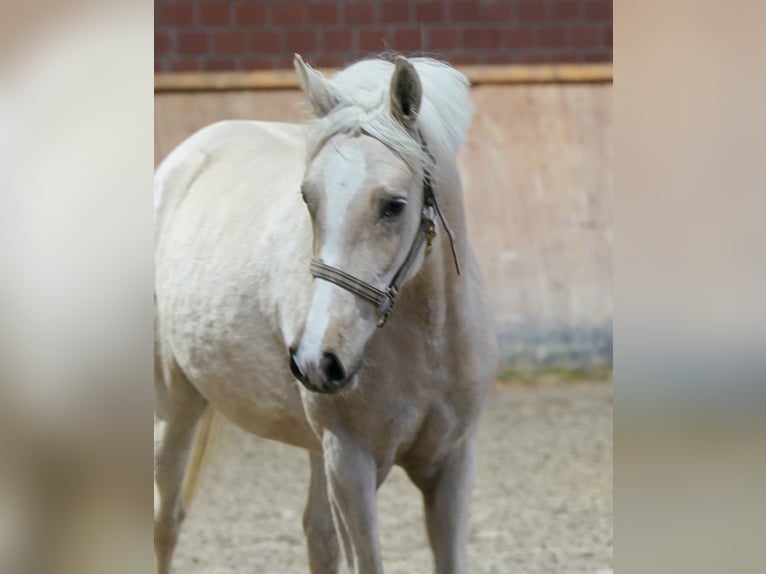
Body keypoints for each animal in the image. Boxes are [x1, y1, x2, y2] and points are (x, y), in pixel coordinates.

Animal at [154, 54, 498, 574]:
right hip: (175, 402)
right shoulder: (351, 464)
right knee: (166, 520)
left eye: (393, 205)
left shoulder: (453, 464)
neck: (427, 340)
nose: (319, 360)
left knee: (317, 535)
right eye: (307, 197)